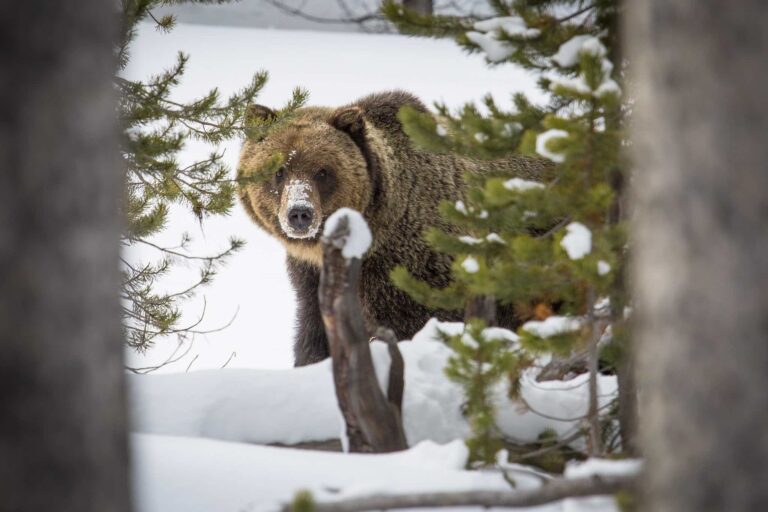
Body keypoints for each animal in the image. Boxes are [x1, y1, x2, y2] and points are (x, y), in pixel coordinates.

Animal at [237, 90, 550, 366]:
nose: (300, 213)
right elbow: (315, 335)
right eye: (279, 171)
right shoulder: (311, 277)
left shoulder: (410, 272)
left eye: (323, 172)